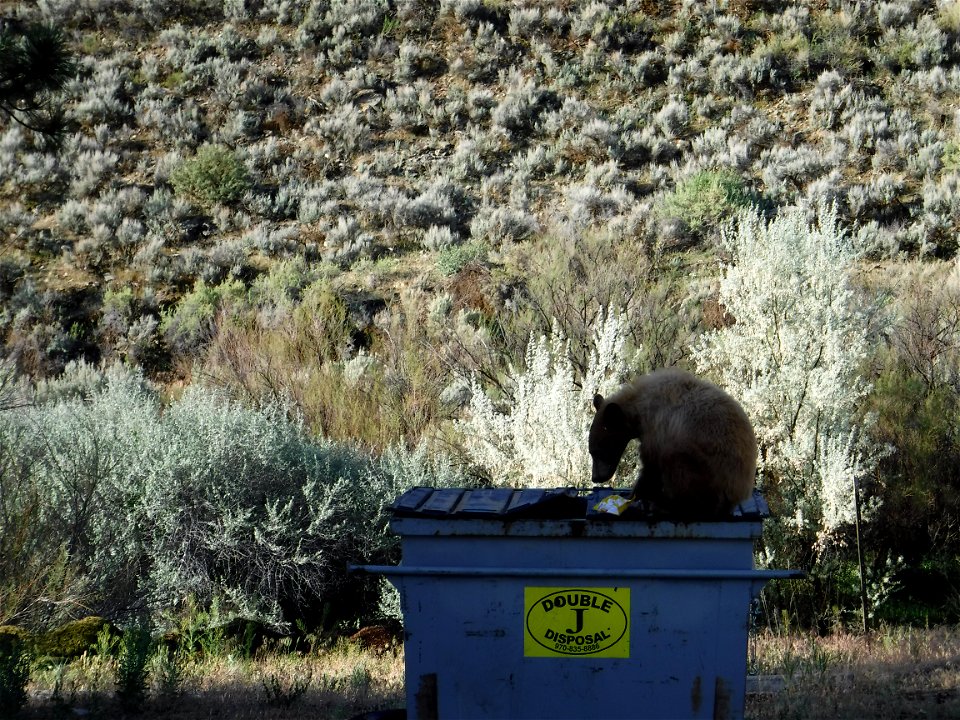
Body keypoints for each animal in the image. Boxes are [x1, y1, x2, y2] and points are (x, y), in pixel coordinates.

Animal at [588, 372, 752, 516]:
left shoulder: (656, 429)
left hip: (703, 468)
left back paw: (663, 504)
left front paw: (634, 496)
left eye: (597, 452)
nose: (595, 478)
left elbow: (650, 467)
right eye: (592, 452)